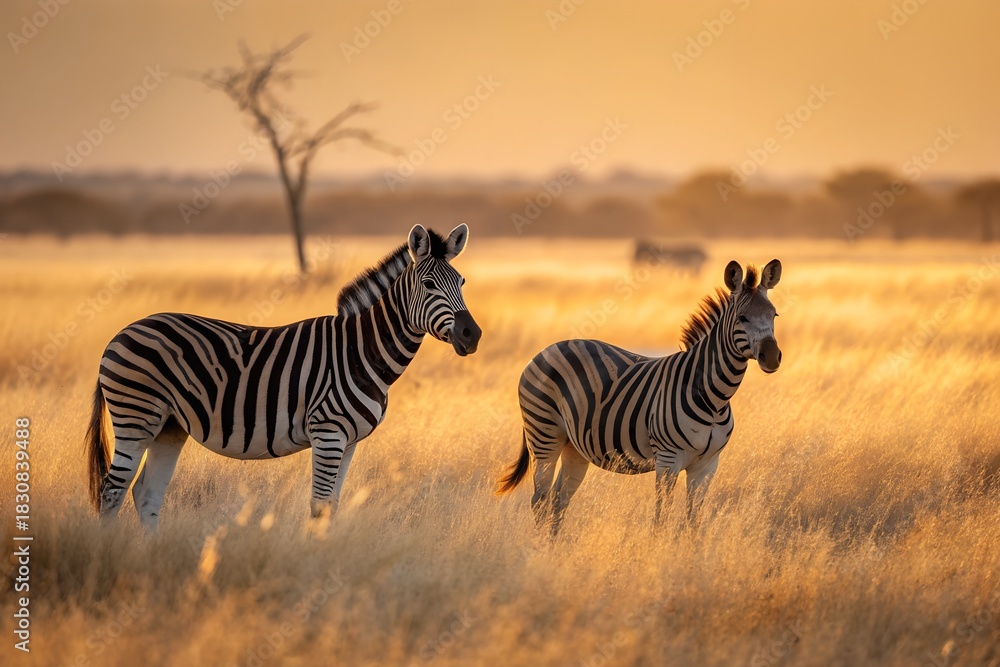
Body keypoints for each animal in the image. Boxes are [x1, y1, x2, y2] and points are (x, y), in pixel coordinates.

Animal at [85, 224, 482, 530]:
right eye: (428, 284)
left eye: (462, 282)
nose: (472, 335)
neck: (360, 351)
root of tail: (123, 332)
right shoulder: (328, 433)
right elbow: (319, 507)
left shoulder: (350, 441)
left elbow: (332, 506)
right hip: (135, 416)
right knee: (112, 490)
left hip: (169, 426)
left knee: (145, 494)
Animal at [496, 259, 782, 534]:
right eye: (742, 318)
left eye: (774, 315)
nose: (772, 357)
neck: (715, 400)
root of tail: (548, 349)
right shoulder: (668, 460)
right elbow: (661, 518)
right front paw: (658, 549)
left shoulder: (707, 466)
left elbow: (693, 521)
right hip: (544, 434)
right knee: (540, 500)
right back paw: (540, 548)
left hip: (573, 446)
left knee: (558, 500)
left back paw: (553, 547)